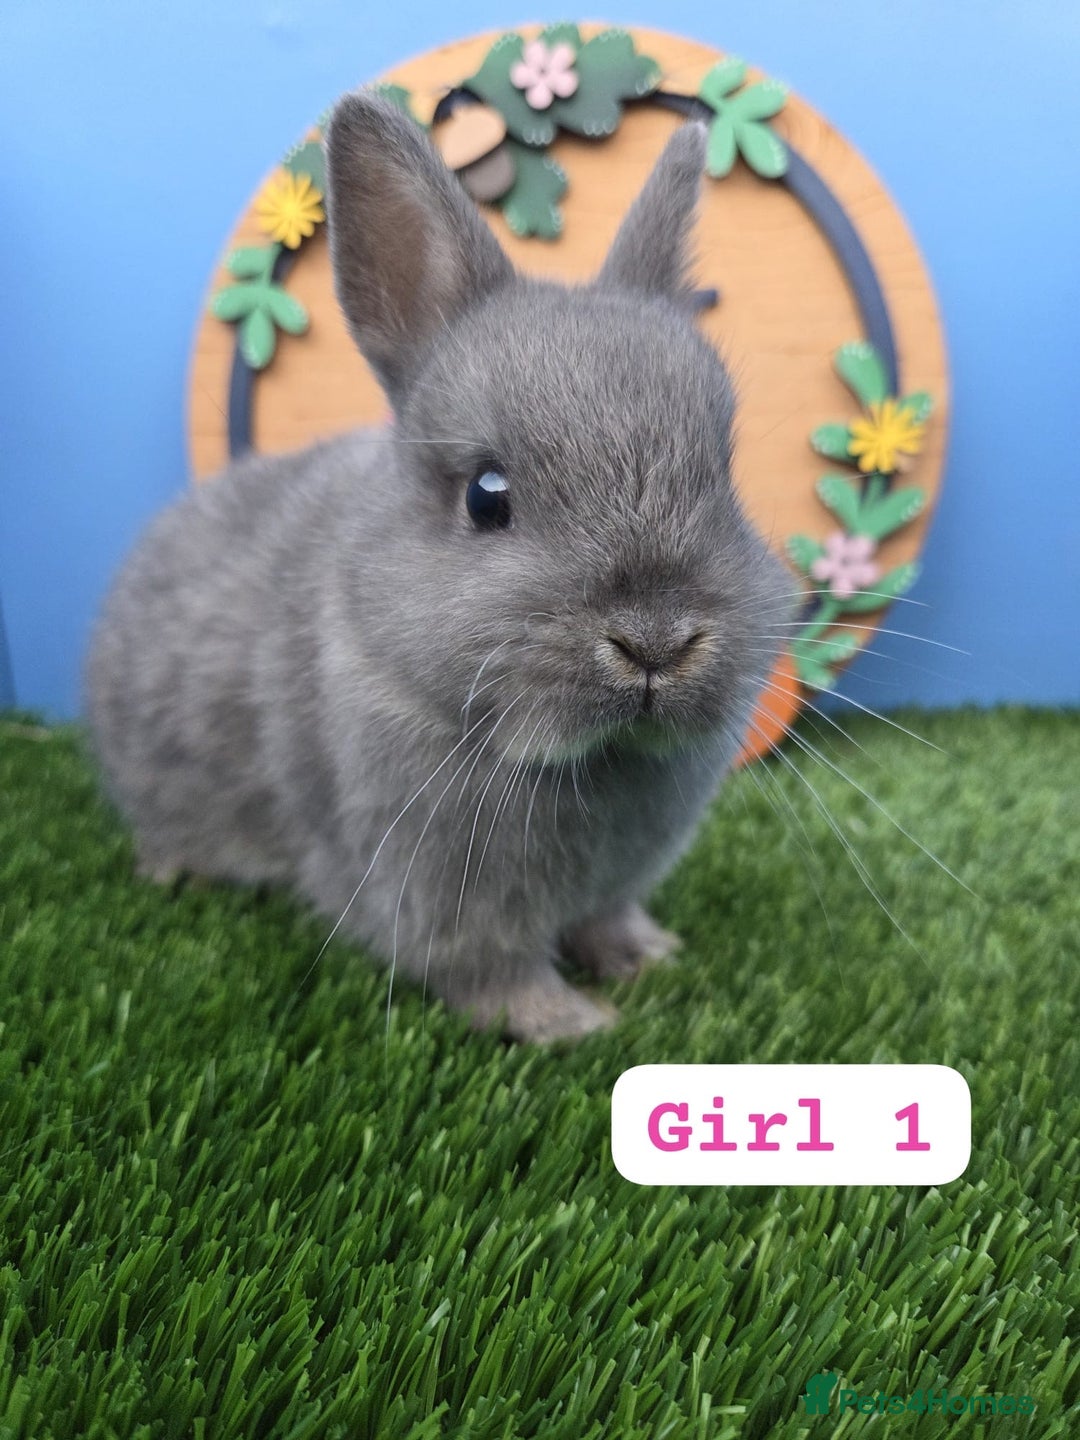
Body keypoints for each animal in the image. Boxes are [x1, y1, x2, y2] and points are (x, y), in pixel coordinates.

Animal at [85, 90, 794, 1042]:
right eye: (486, 496)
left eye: (724, 473)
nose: (655, 642)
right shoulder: (438, 894)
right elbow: (493, 973)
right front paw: (573, 1024)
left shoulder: (609, 884)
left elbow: (608, 918)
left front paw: (648, 958)